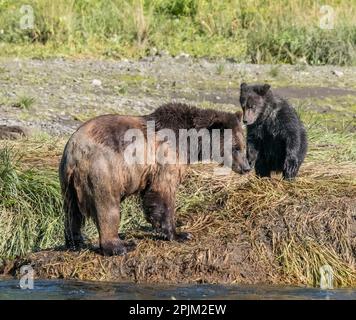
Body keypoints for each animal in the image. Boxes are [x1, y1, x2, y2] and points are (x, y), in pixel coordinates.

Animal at [59, 102, 250, 255]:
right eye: (235, 147)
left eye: (243, 145)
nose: (247, 167)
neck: (189, 143)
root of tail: (75, 150)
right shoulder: (166, 157)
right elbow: (163, 192)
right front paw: (180, 233)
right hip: (104, 170)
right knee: (107, 206)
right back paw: (121, 246)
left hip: (67, 181)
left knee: (71, 212)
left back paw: (75, 242)